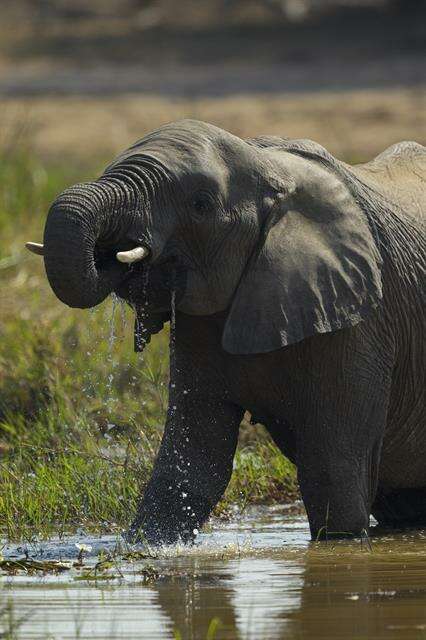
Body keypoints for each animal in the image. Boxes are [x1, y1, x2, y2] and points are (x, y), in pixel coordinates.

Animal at [27, 121, 426, 544]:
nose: (112, 252)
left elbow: (331, 468)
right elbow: (194, 462)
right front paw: (145, 547)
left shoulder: (359, 318)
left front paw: (339, 546)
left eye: (201, 205)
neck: (270, 169)